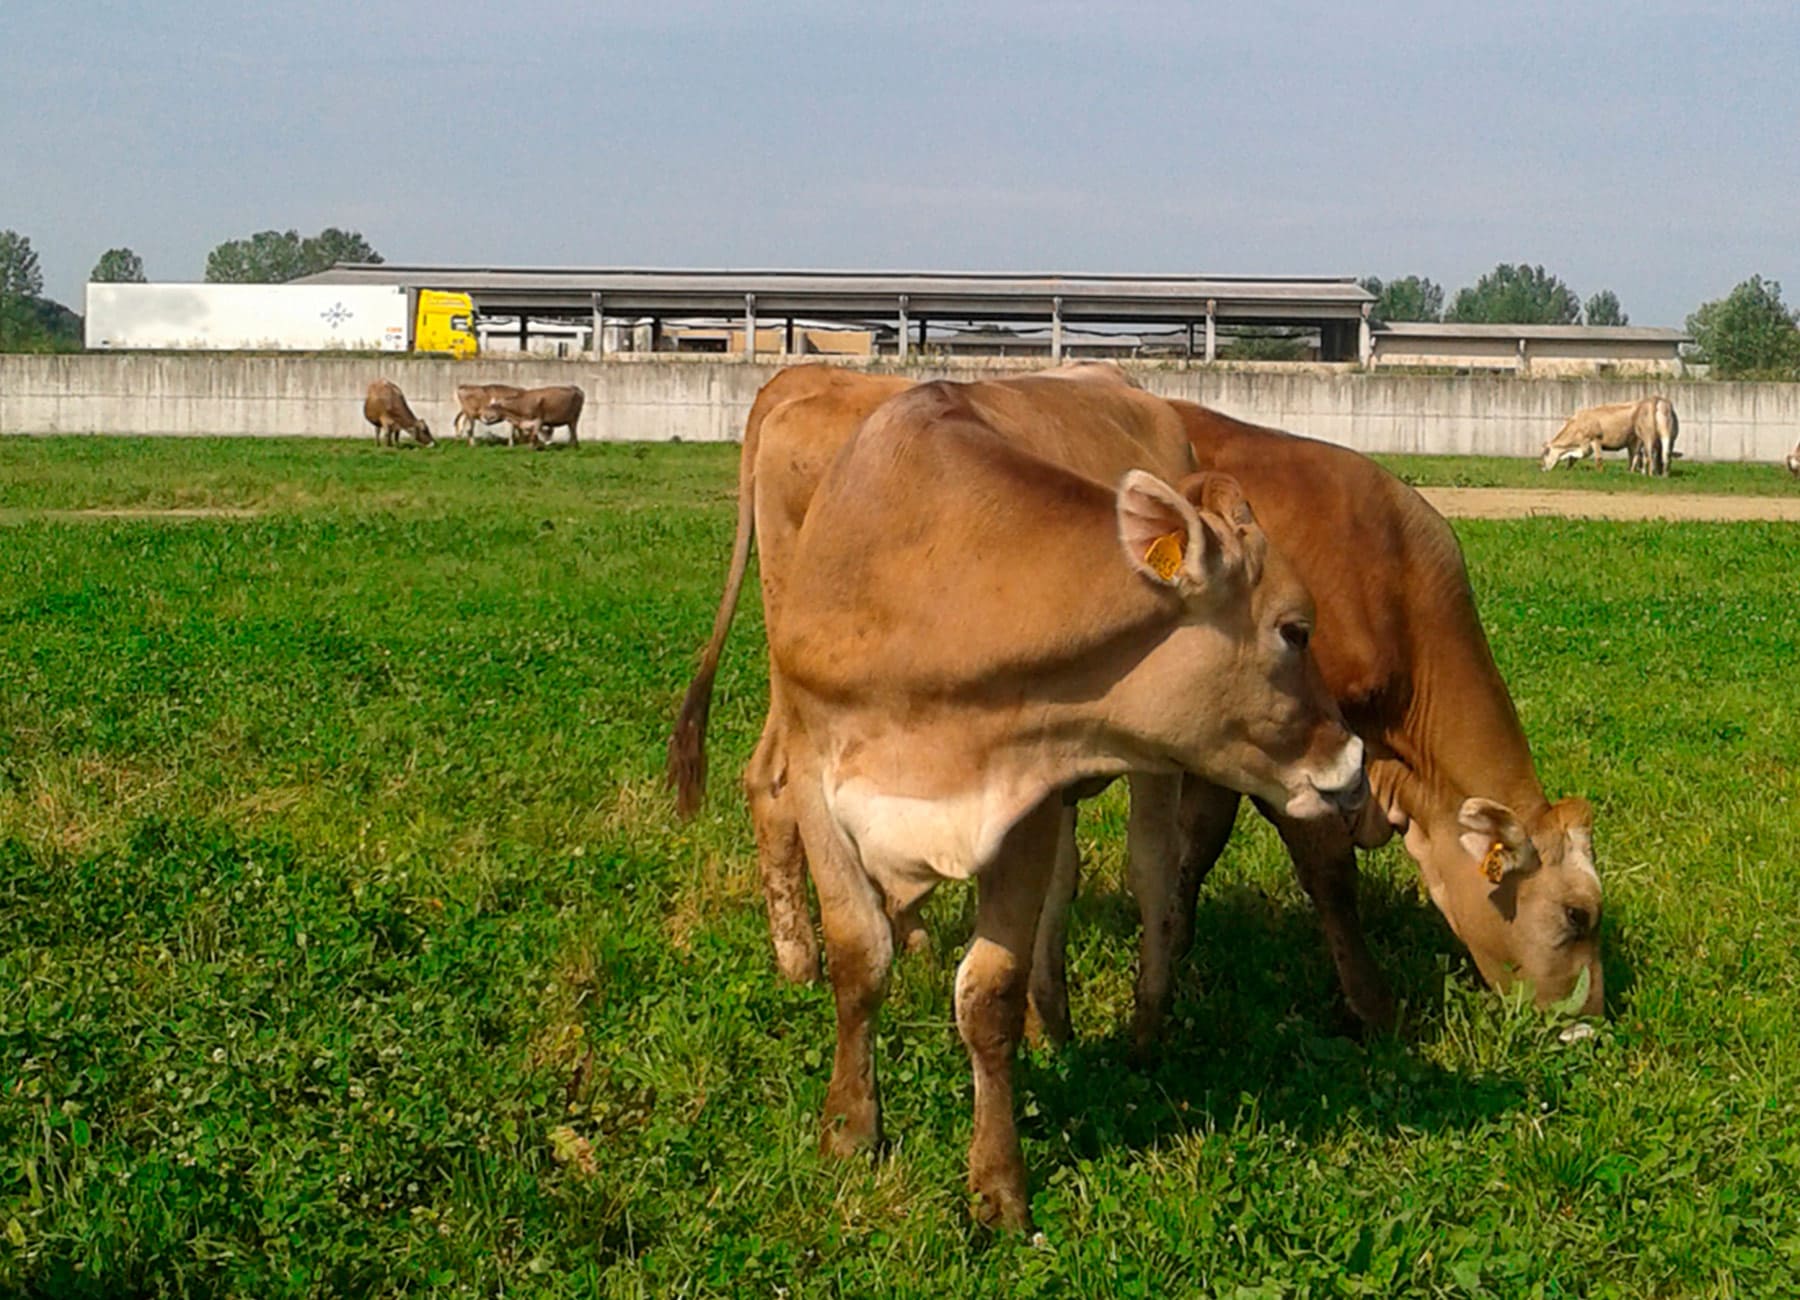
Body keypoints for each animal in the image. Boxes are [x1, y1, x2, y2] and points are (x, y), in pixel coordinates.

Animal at [770, 378, 1360, 1224]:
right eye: (1295, 630)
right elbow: (859, 957)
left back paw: (1144, 1029)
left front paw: (998, 1182)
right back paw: (1055, 1022)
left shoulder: (1022, 799)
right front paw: (850, 1129)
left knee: (1152, 881)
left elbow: (987, 994)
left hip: (1148, 769)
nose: (1351, 759)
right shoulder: (815, 771)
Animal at [1540, 397, 1677, 478]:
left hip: (1644, 438)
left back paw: (1647, 473)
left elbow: (1598, 459)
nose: (1542, 468)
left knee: (1646, 456)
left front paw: (1600, 473)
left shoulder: (1595, 440)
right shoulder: (1584, 447)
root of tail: (1659, 400)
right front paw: (1567, 469)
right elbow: (1572, 458)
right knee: (1657, 455)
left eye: (1545, 454)